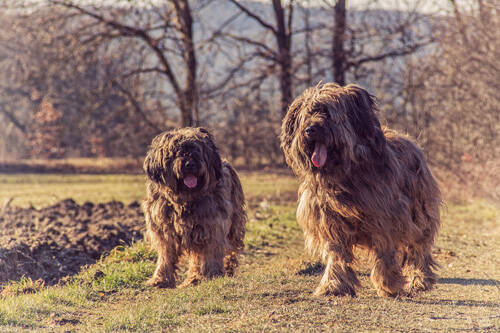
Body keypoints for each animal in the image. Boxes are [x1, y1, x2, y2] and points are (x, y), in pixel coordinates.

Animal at [143, 127, 246, 288]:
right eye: (175, 151)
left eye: (197, 150)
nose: (190, 164)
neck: (185, 200)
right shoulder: (165, 230)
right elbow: (166, 255)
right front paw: (160, 278)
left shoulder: (210, 227)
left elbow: (208, 255)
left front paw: (207, 276)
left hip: (234, 223)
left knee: (230, 249)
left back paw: (224, 270)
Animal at [282, 83, 442, 296]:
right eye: (306, 114)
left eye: (327, 113)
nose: (310, 130)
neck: (344, 175)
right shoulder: (330, 220)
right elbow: (336, 254)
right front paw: (334, 284)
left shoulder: (386, 219)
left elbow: (385, 252)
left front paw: (388, 284)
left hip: (420, 212)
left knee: (419, 248)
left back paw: (420, 280)